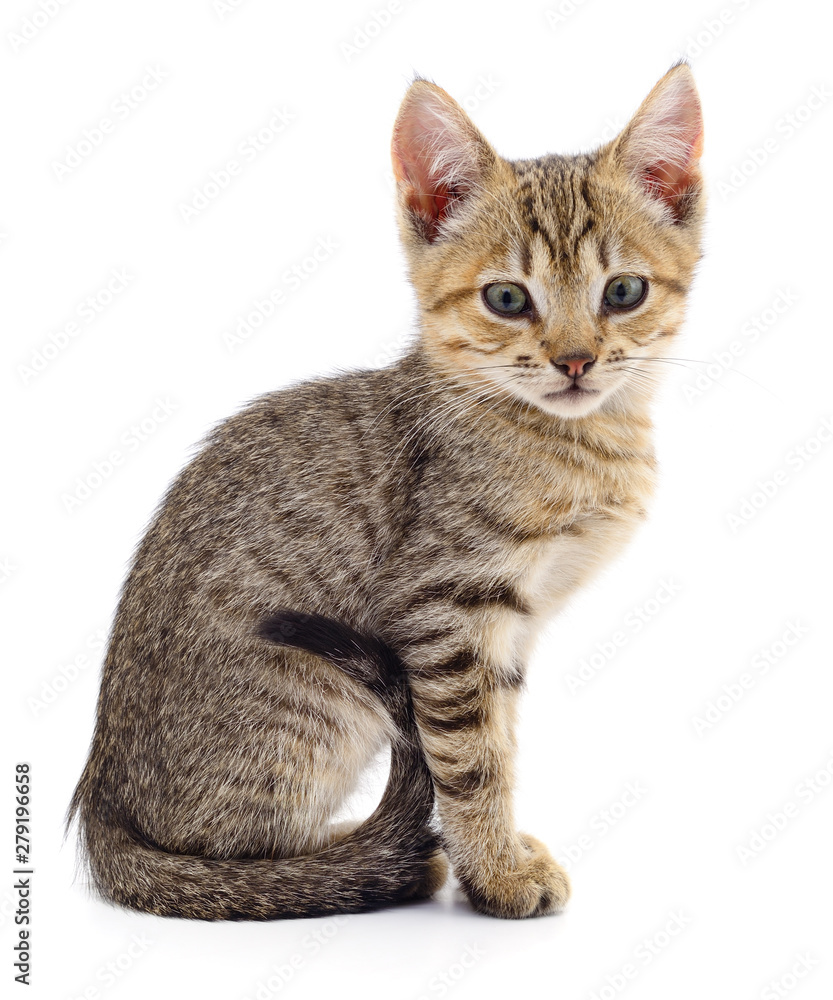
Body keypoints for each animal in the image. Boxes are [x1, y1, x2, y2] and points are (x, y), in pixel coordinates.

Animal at [70, 64, 704, 920]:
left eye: (624, 292)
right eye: (508, 300)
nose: (574, 361)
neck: (574, 441)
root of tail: (101, 795)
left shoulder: (507, 632)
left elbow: (499, 740)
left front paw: (499, 852)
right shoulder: (446, 608)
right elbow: (469, 758)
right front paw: (495, 872)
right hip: (314, 705)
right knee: (222, 853)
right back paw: (358, 859)